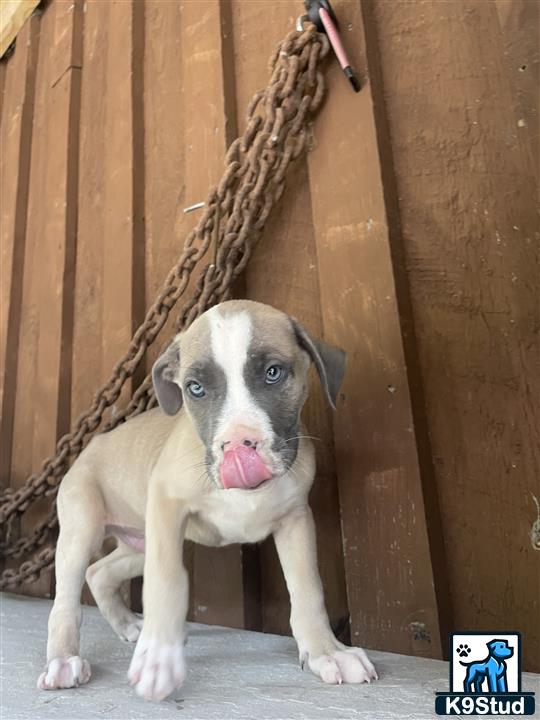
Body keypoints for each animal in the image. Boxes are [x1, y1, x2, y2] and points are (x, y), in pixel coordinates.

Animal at [38, 300, 376, 700]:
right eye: (195, 388)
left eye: (273, 373)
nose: (237, 445)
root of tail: (90, 445)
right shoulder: (166, 502)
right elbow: (166, 581)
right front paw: (159, 659)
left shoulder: (296, 520)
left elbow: (308, 588)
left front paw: (328, 652)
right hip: (85, 529)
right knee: (67, 597)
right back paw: (63, 661)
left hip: (140, 541)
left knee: (100, 572)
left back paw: (128, 626)